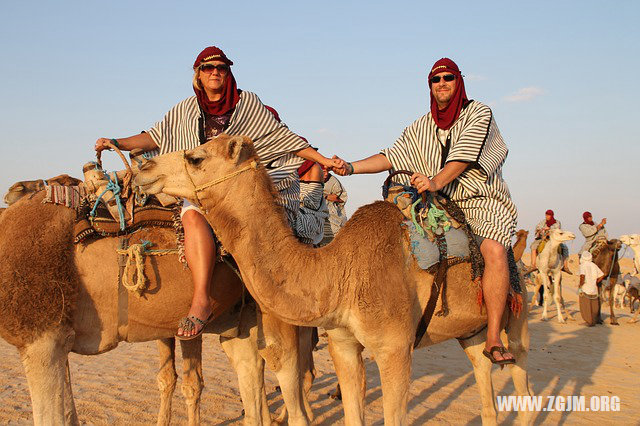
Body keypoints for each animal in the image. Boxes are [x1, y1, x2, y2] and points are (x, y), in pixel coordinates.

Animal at [132, 137, 532, 426]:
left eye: (195, 157)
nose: (142, 168)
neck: (340, 271)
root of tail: (517, 251)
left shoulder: (394, 347)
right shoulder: (342, 342)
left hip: (517, 315)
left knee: (522, 384)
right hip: (470, 331)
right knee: (482, 376)